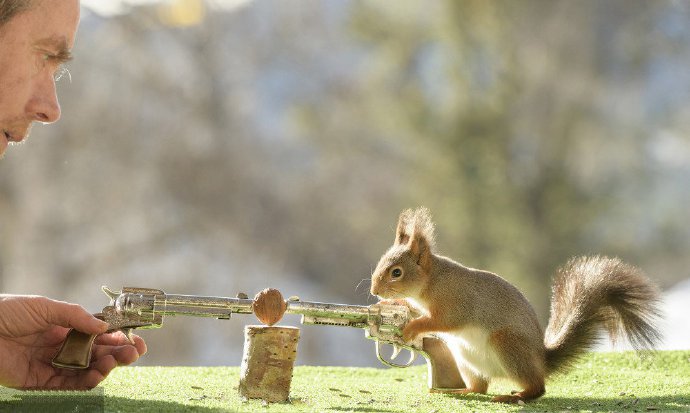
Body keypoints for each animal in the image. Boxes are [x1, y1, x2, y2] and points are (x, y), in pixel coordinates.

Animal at [370, 206, 660, 402]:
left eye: (396, 272)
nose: (374, 290)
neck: (432, 281)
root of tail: (540, 358)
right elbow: (415, 309)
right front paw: (396, 303)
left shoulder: (455, 303)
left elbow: (440, 321)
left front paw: (411, 328)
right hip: (465, 358)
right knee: (480, 387)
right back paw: (462, 390)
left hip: (507, 343)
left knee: (537, 387)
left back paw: (515, 396)